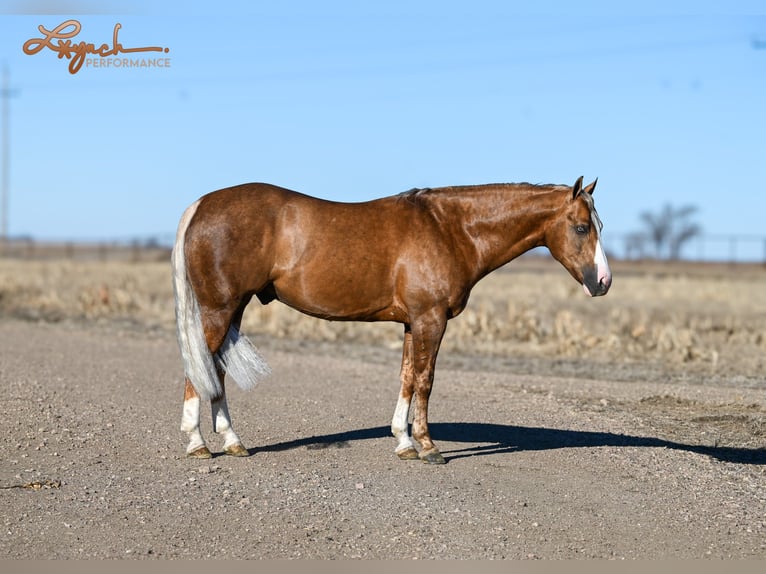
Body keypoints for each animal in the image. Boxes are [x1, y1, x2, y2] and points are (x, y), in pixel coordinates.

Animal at [172, 174, 612, 464]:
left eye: (599, 225)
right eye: (580, 227)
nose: (603, 282)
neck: (450, 229)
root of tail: (200, 205)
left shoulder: (411, 323)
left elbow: (406, 379)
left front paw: (404, 443)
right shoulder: (431, 320)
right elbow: (425, 381)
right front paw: (429, 448)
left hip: (233, 309)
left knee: (216, 370)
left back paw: (232, 441)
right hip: (219, 309)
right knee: (199, 369)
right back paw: (197, 444)